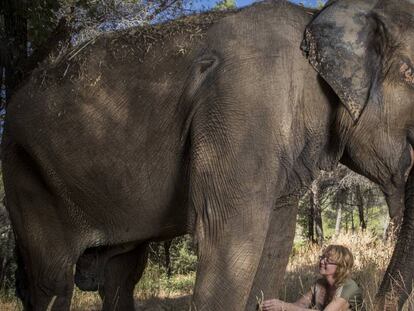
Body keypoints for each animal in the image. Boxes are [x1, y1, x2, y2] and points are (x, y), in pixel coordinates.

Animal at [2, 0, 414, 310]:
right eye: (410, 73)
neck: (316, 17)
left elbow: (275, 242)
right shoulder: (244, 105)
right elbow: (229, 235)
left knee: (120, 276)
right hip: (24, 170)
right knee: (52, 281)